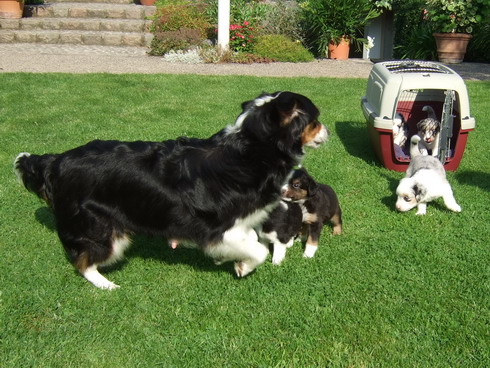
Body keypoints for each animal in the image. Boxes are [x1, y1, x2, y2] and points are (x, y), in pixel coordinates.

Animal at [14, 90, 330, 288]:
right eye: (315, 120)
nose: (326, 132)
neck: (253, 150)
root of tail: (57, 161)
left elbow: (254, 241)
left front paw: (232, 261)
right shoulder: (221, 228)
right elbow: (259, 251)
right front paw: (242, 266)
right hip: (101, 228)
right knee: (83, 261)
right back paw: (106, 284)